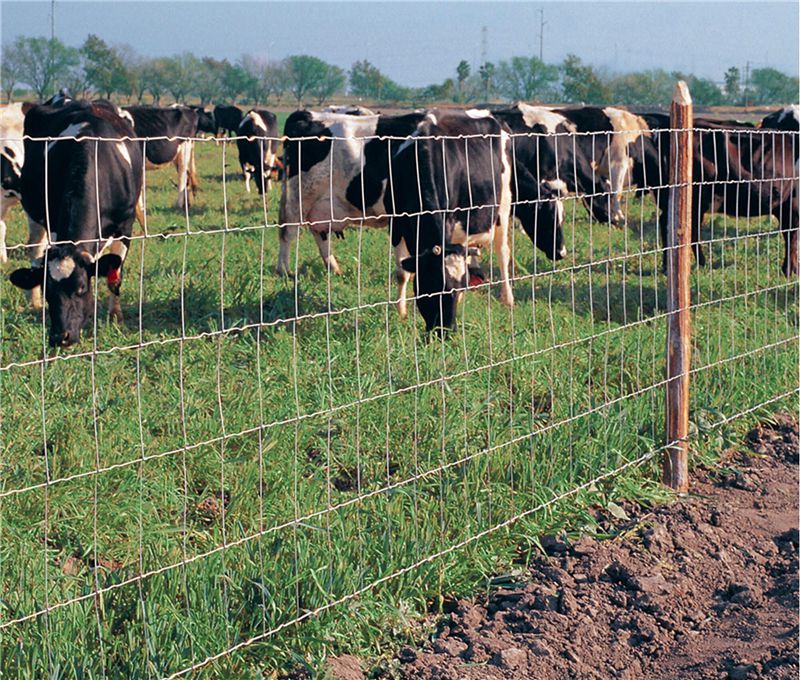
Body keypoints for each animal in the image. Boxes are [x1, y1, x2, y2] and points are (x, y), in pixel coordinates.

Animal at [8, 97, 142, 346]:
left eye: (81, 289)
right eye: (49, 293)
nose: (60, 337)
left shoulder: (125, 225)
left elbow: (115, 277)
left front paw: (115, 317)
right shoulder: (54, 223)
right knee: (35, 248)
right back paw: (33, 301)